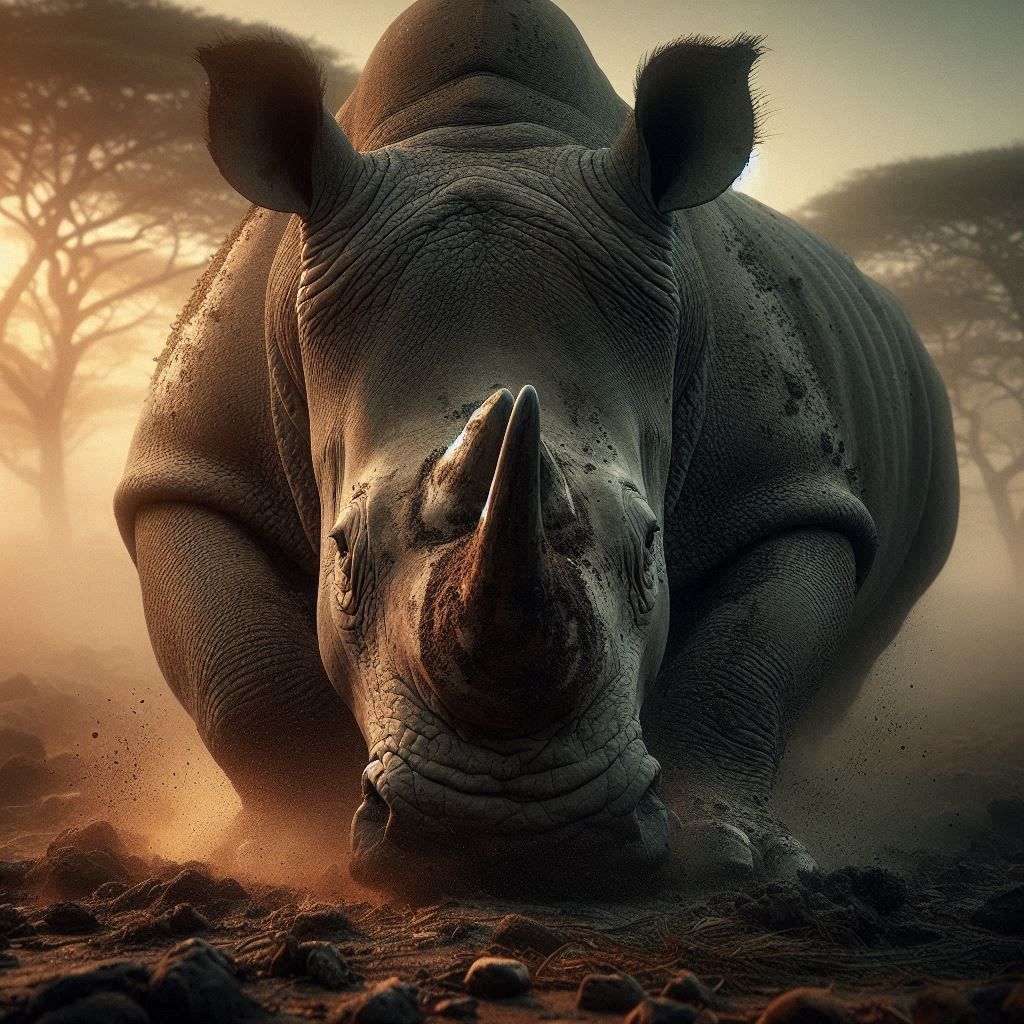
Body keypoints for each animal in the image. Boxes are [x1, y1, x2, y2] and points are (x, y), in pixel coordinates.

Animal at [116, 0, 958, 891]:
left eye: (651, 546)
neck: (483, 137)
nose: (511, 828)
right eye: (341, 552)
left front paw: (735, 858)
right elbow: (245, 671)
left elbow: (743, 665)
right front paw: (288, 854)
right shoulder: (196, 464)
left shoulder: (785, 481)